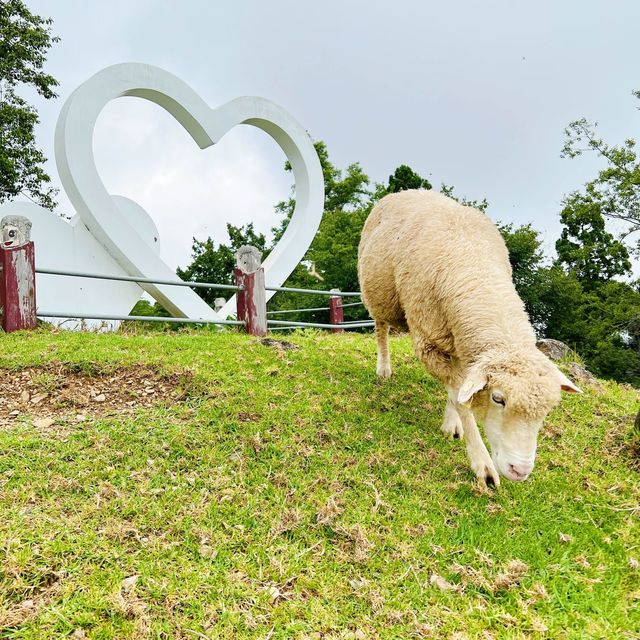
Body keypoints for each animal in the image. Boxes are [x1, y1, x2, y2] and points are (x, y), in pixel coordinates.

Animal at [358, 190, 584, 484]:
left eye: (547, 411)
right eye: (498, 399)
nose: (519, 471)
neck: (472, 262)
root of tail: (408, 191)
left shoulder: (466, 346)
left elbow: (459, 390)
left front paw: (451, 423)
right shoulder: (428, 344)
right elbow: (460, 398)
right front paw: (482, 465)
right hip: (380, 293)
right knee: (381, 328)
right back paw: (384, 368)